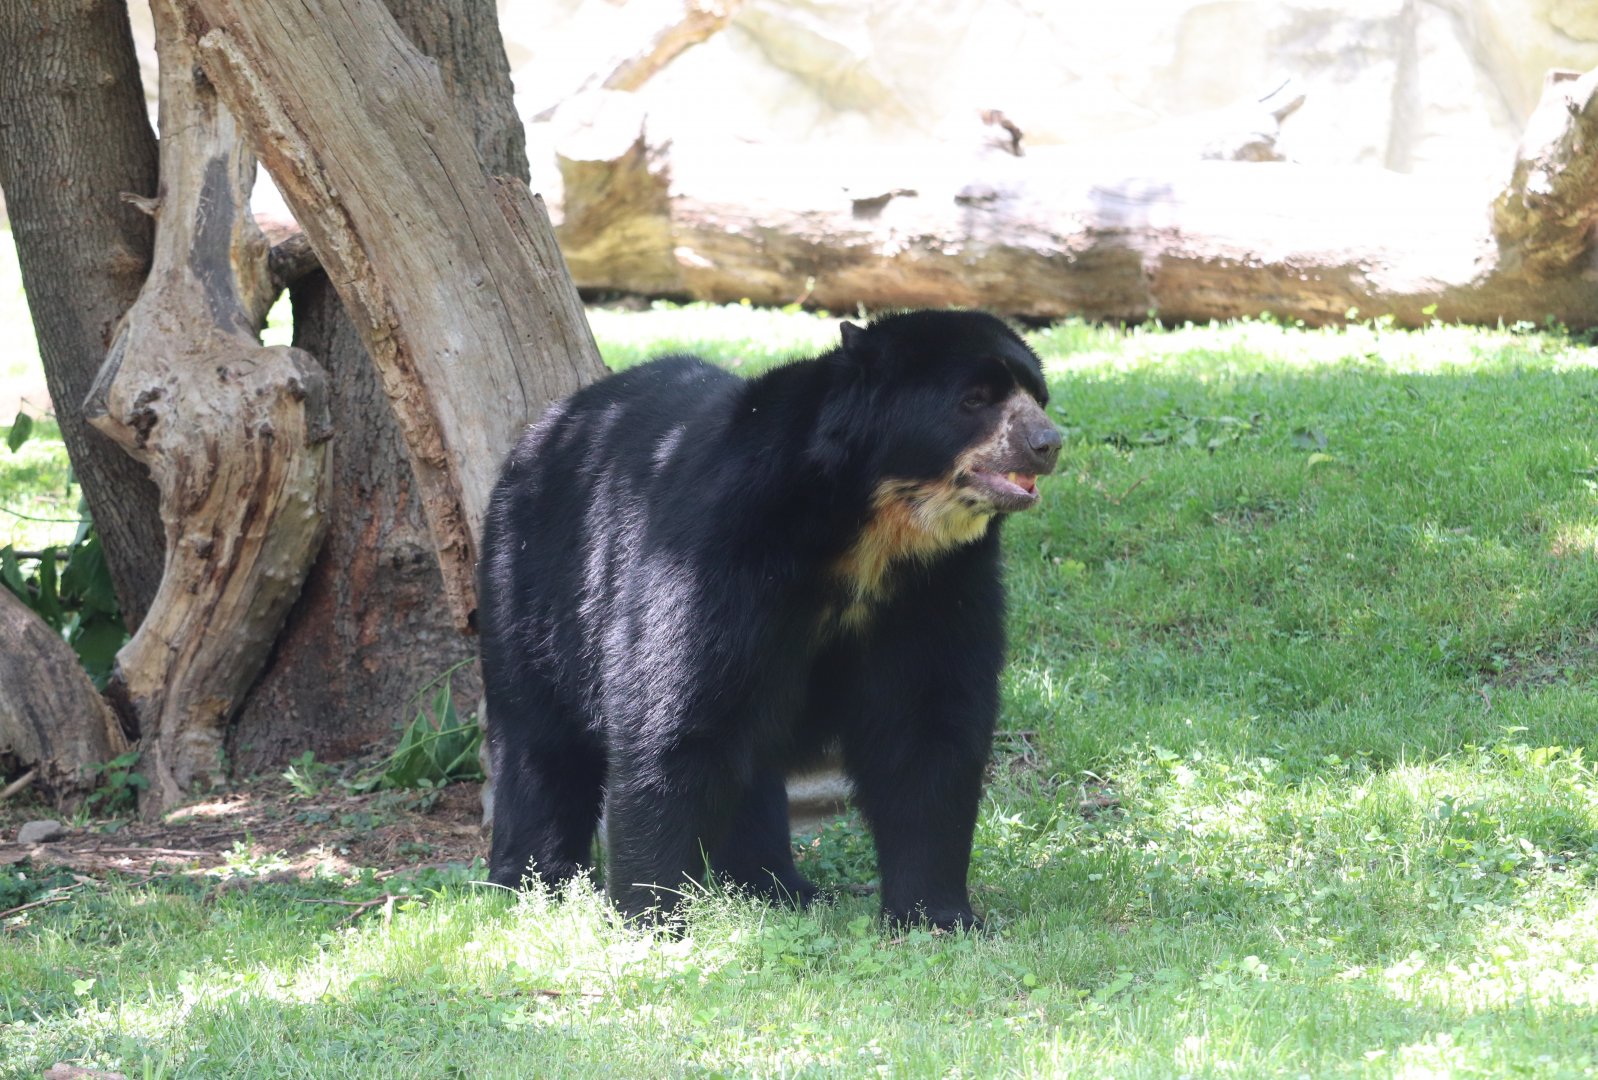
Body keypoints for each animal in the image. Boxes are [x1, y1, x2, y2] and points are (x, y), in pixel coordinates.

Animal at [477, 309, 1061, 930]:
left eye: (1037, 395)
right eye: (975, 399)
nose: (1047, 443)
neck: (872, 532)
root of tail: (542, 429)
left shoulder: (941, 583)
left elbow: (927, 722)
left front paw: (937, 912)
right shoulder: (718, 545)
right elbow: (672, 714)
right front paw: (650, 916)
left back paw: (774, 885)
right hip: (531, 580)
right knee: (539, 737)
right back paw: (534, 881)